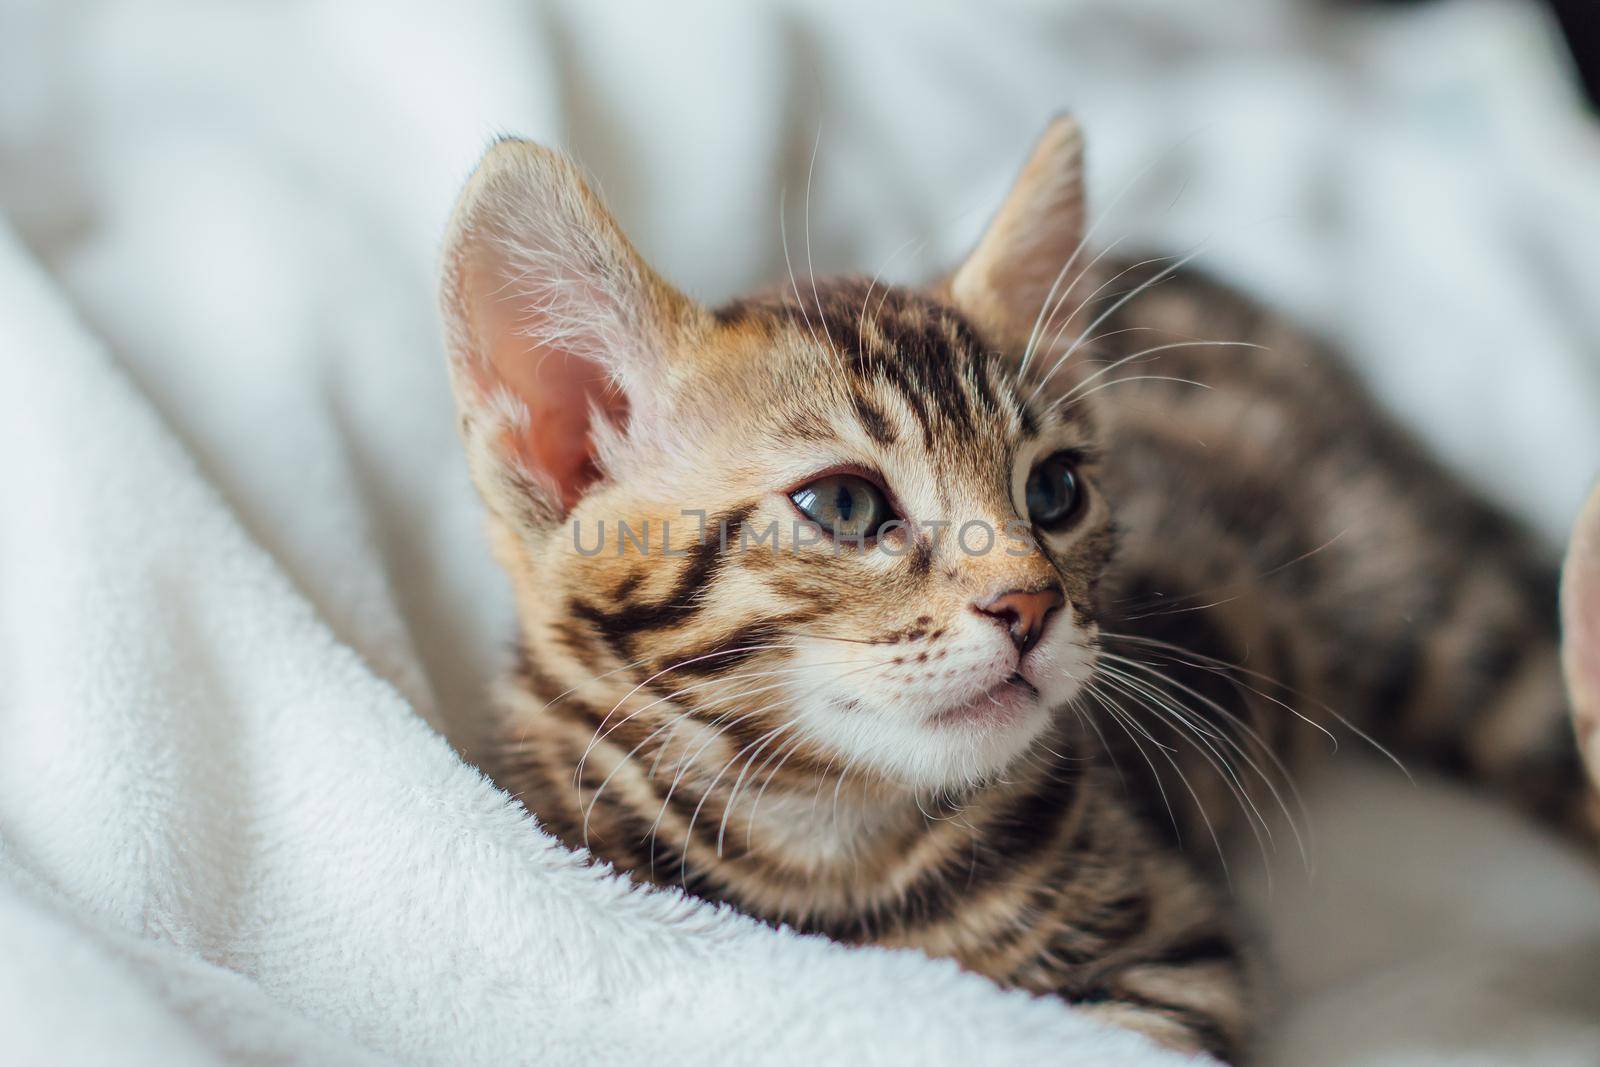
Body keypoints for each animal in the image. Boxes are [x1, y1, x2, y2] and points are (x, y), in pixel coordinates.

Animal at [441, 120, 1600, 1062]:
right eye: (844, 505)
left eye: (1054, 490)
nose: (1029, 606)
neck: (827, 854)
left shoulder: (1184, 947)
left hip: (1448, 615)